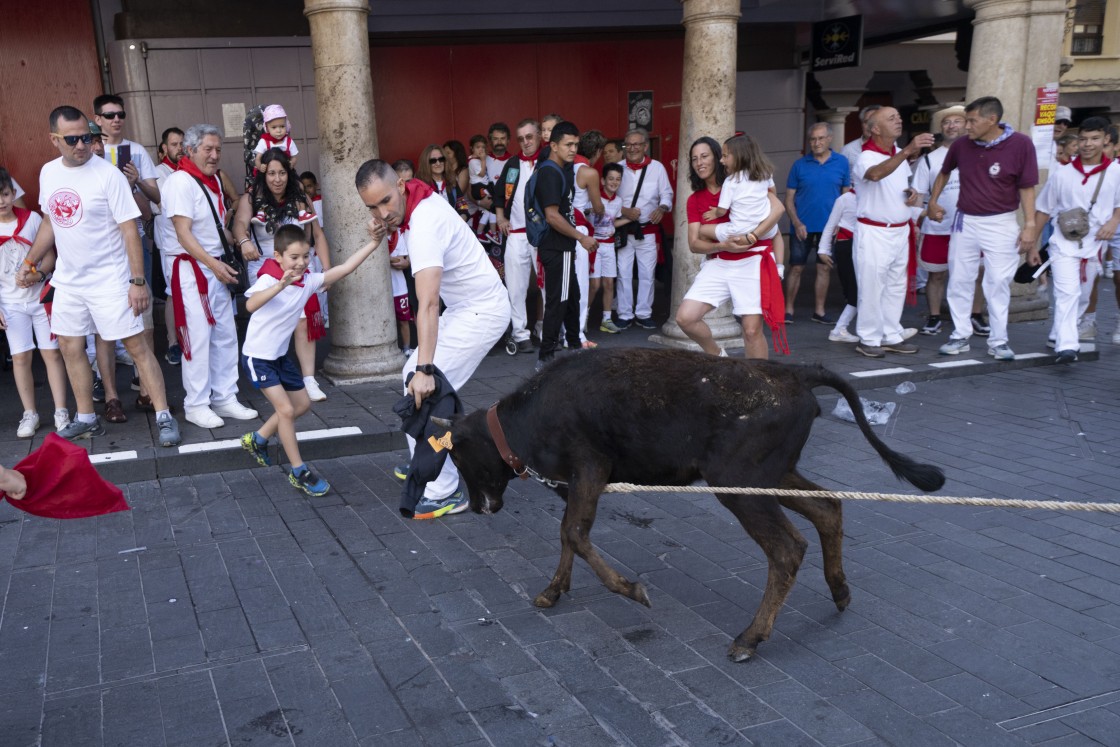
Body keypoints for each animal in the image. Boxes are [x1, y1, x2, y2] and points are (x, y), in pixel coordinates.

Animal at [432, 349, 940, 658]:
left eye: (458, 453)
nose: (481, 507)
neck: (528, 419)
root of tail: (794, 372)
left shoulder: (590, 469)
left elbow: (574, 533)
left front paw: (632, 590)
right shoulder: (575, 483)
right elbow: (567, 536)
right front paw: (553, 591)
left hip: (739, 484)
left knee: (787, 548)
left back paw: (750, 638)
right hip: (771, 477)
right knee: (828, 507)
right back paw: (839, 591)